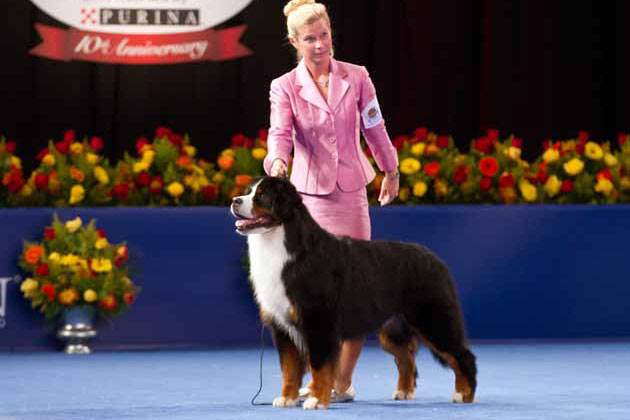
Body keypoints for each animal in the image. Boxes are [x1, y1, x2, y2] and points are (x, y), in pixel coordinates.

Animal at [232, 176, 478, 410]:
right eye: (248, 192)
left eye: (262, 195)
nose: (235, 201)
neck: (284, 246)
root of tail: (434, 258)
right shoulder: (282, 325)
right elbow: (289, 368)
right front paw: (287, 398)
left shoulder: (318, 321)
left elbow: (319, 365)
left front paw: (317, 400)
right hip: (392, 327)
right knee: (405, 357)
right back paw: (404, 391)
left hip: (433, 320)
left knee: (462, 355)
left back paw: (464, 394)